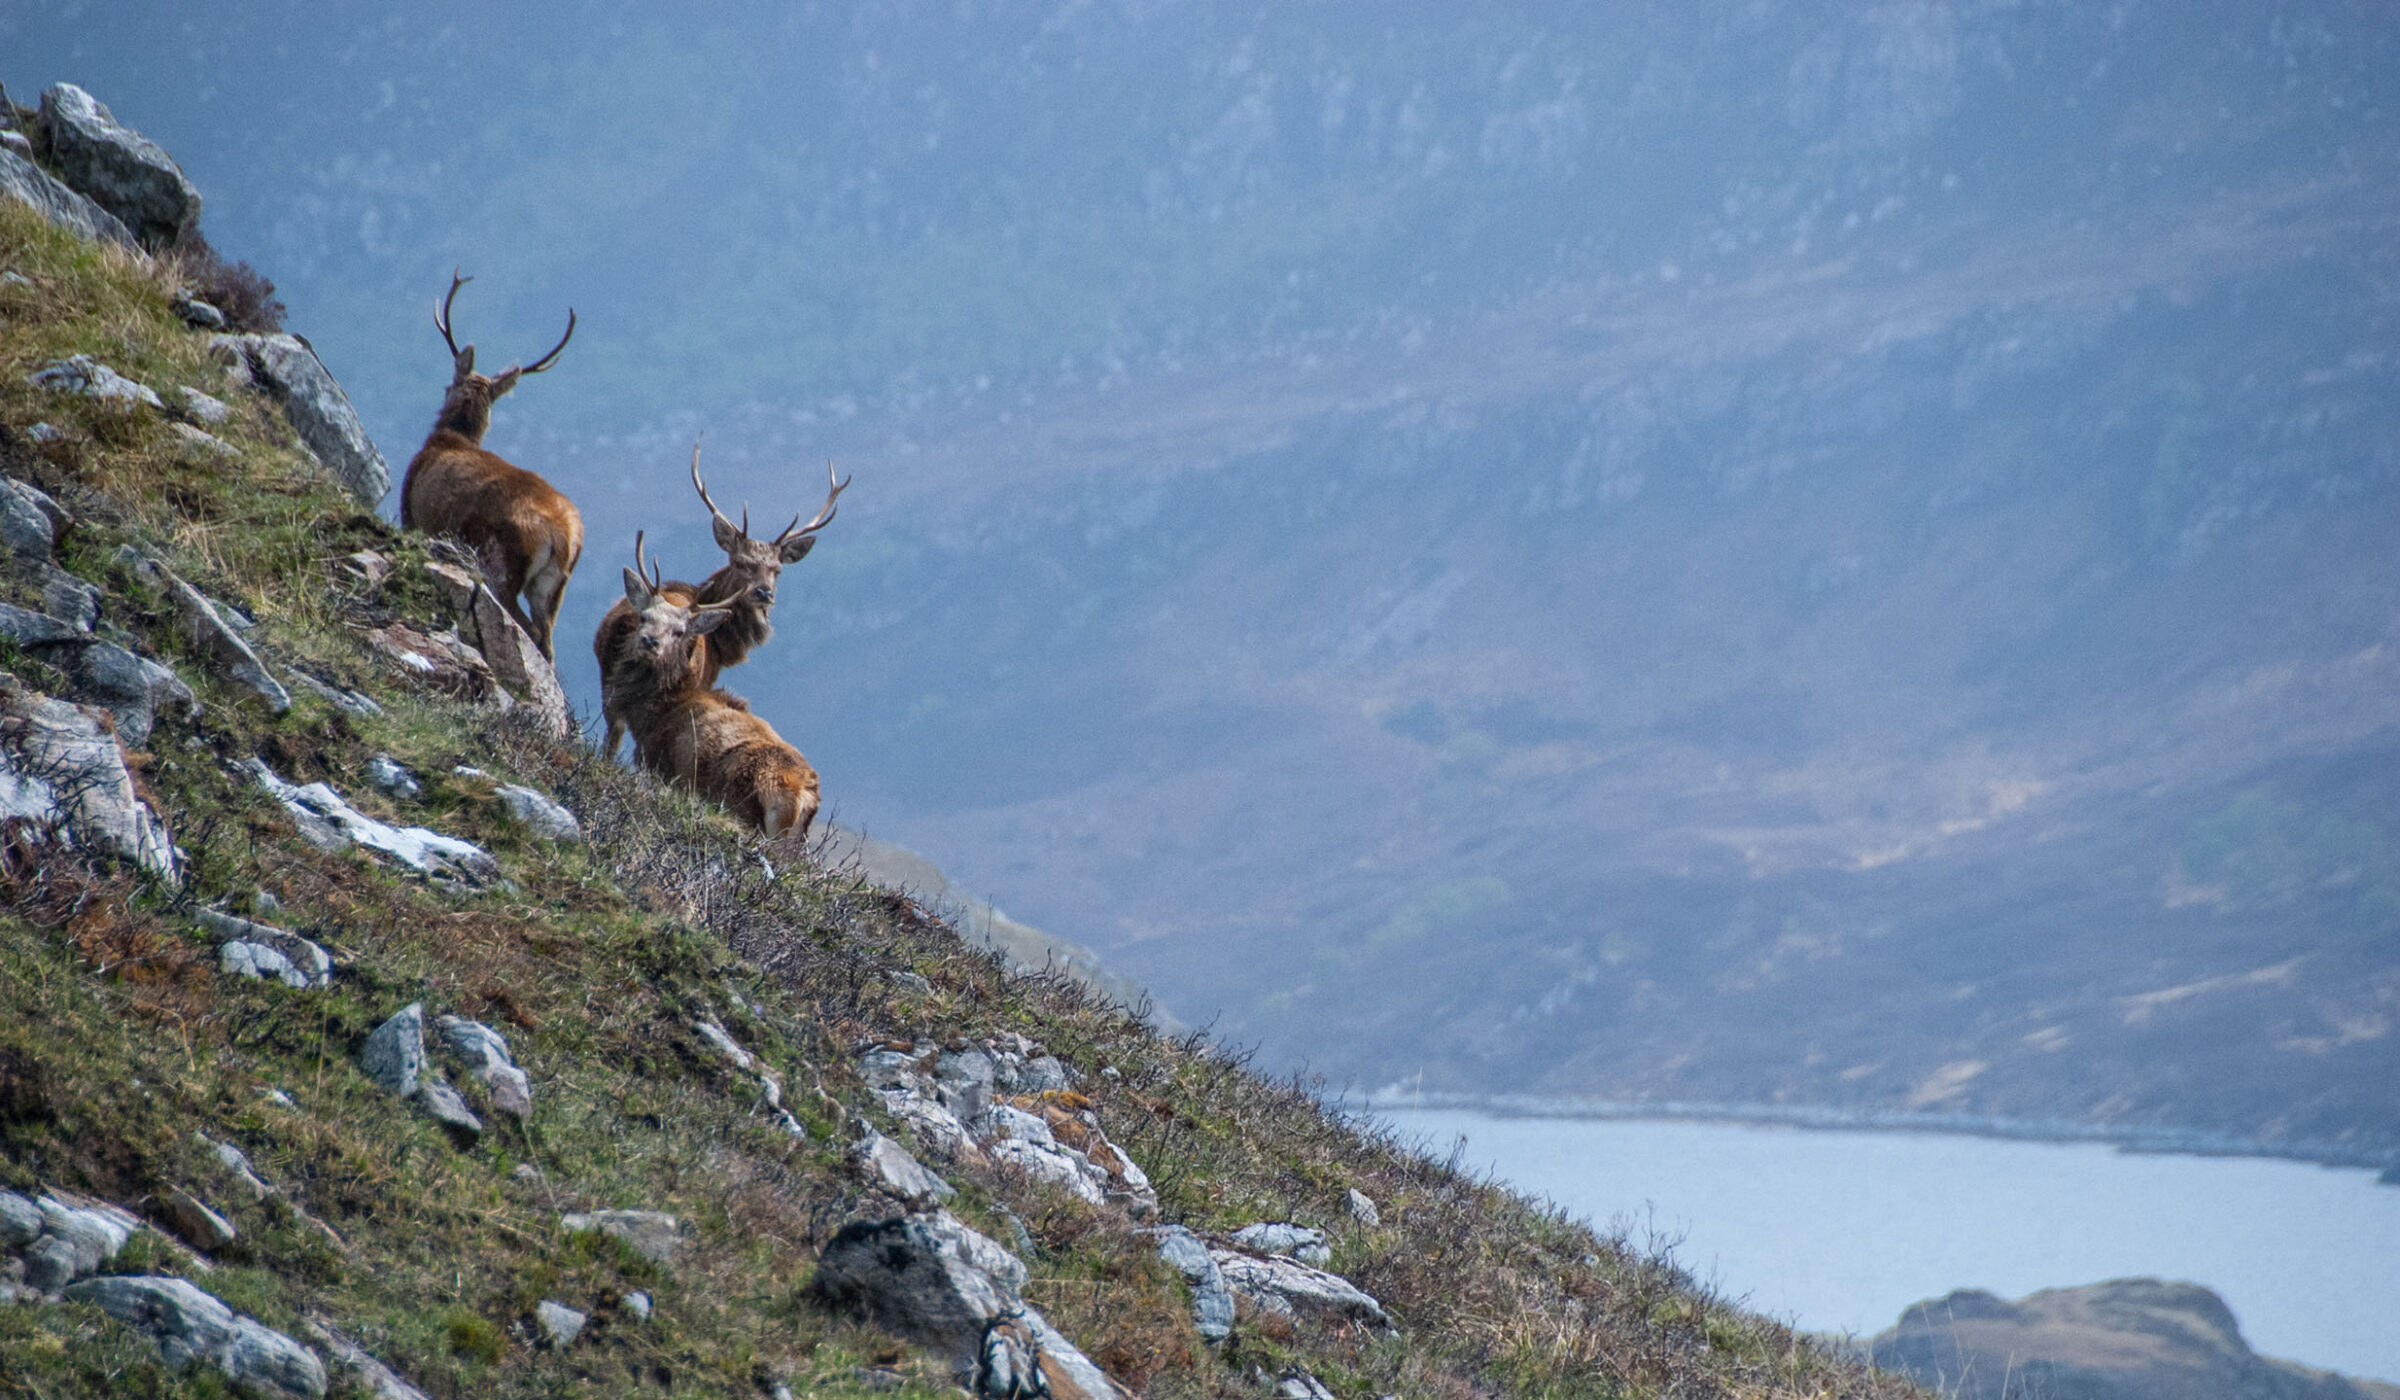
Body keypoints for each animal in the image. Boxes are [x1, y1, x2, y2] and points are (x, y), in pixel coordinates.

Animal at [399, 270, 582, 660]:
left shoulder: (412, 514)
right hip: (554, 587)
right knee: (548, 641)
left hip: (502, 563)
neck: (450, 438)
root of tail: (563, 536)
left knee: (526, 627)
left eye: (446, 384)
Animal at [609, 538, 823, 844]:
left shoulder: (657, 766)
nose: (649, 641)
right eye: (644, 617)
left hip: (740, 807)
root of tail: (796, 795)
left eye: (679, 631)